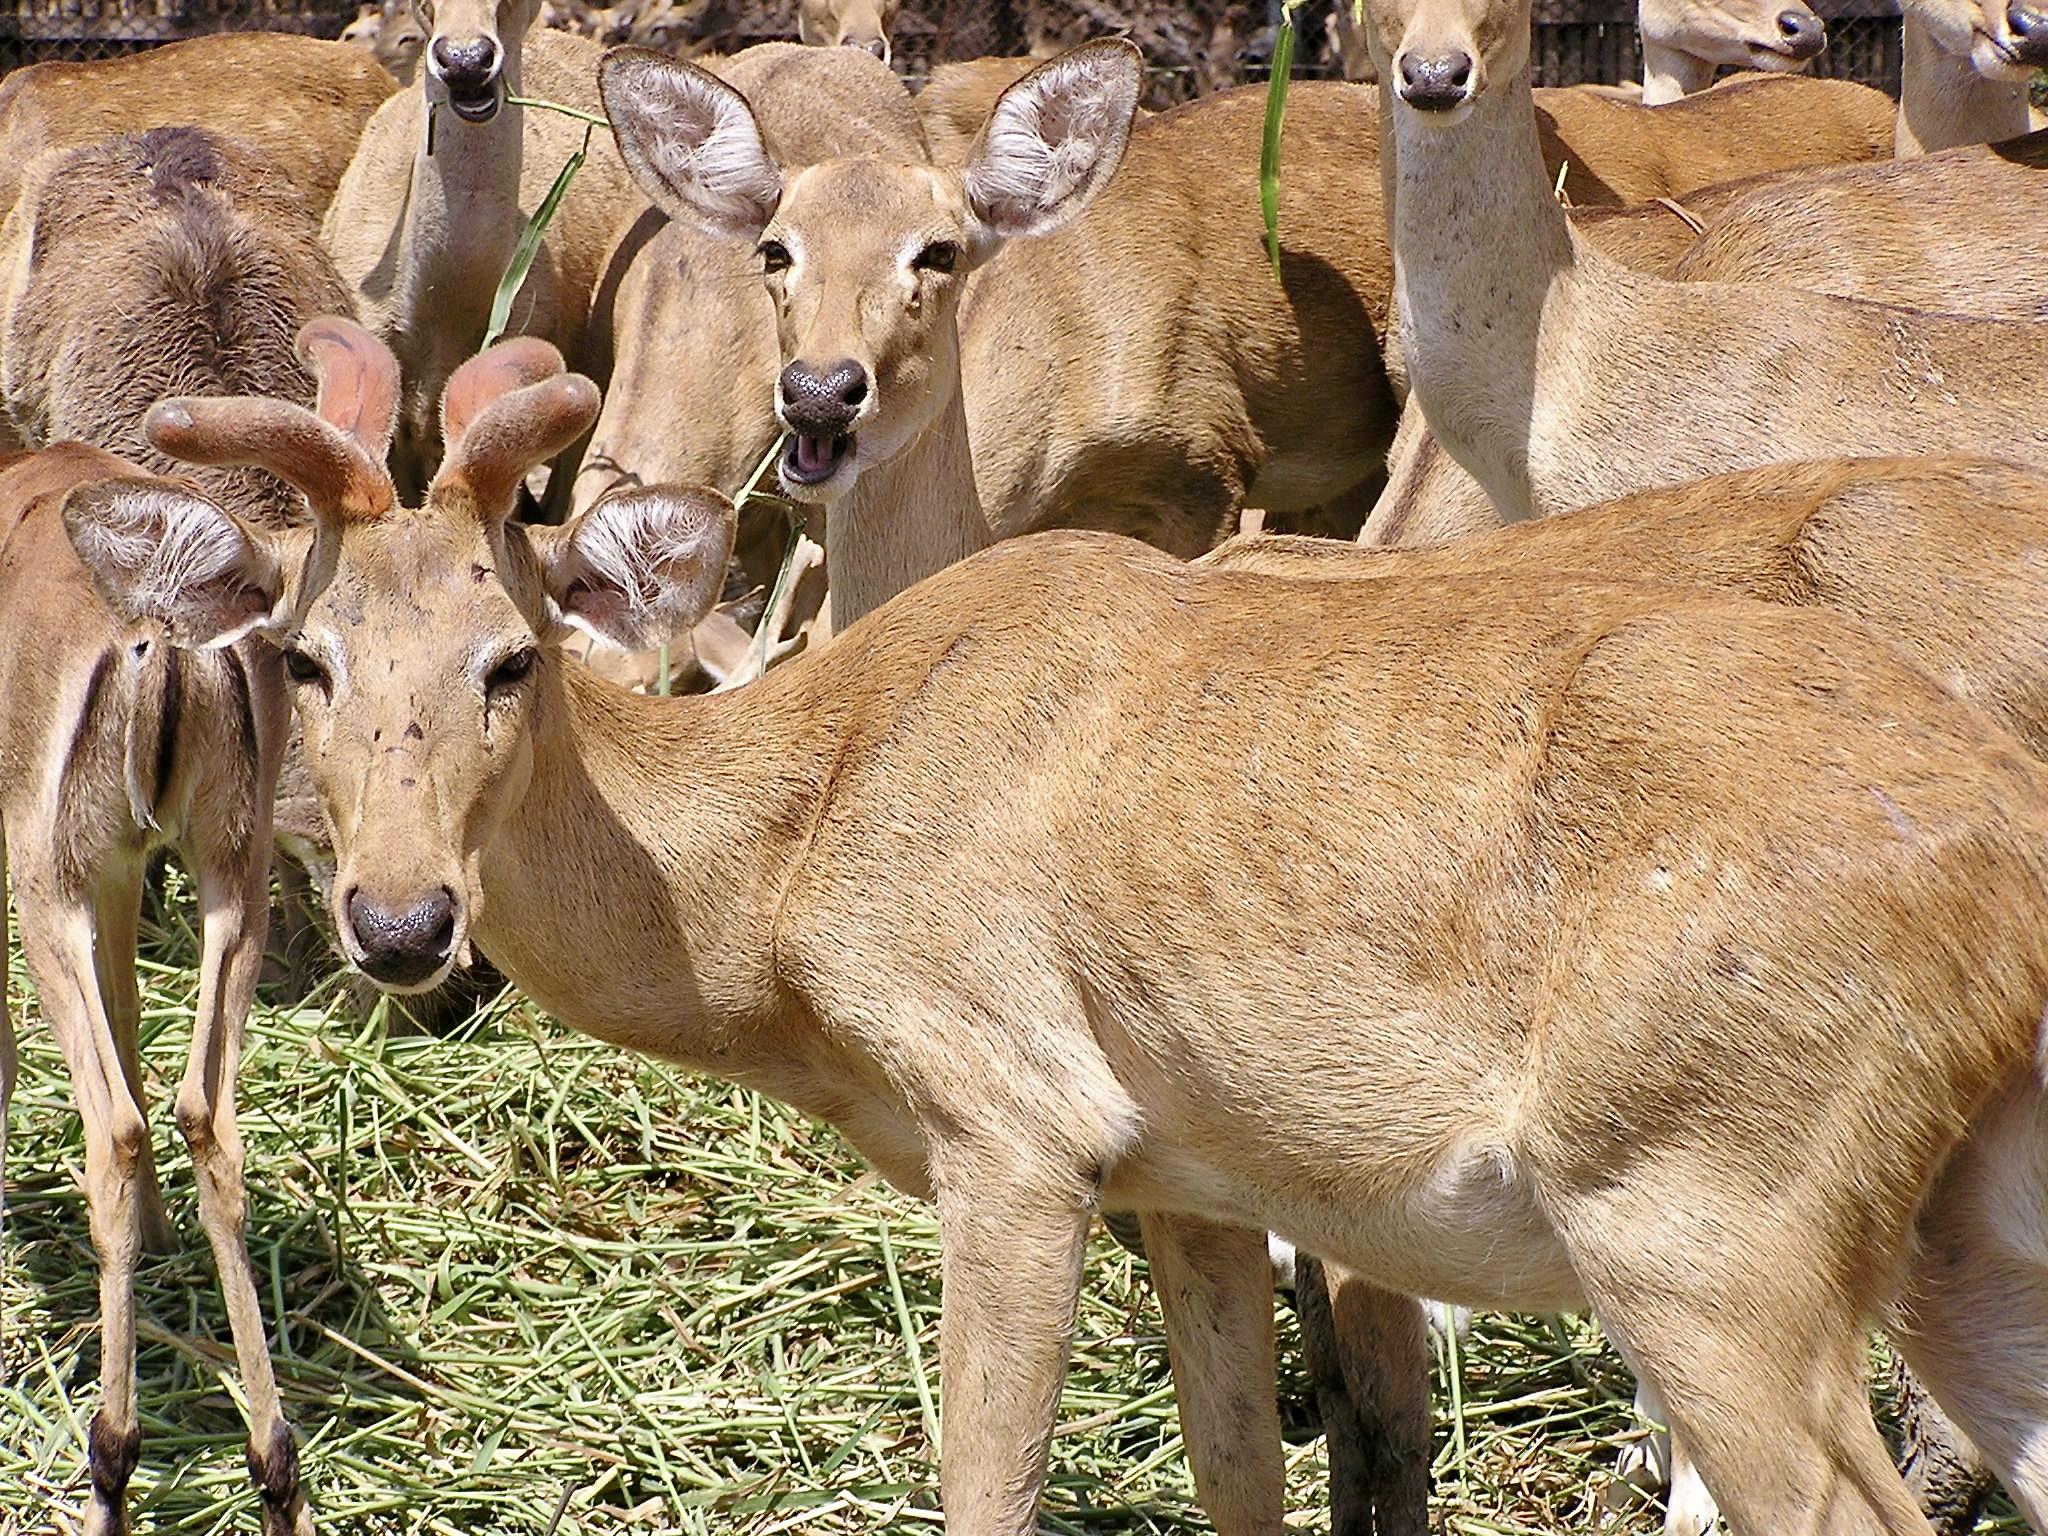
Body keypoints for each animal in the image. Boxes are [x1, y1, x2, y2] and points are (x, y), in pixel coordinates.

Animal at [55, 311, 2048, 1536]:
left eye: (508, 654)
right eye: (307, 653)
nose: (401, 923)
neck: (785, 855)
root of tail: (2002, 881)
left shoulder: (1013, 1122)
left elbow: (986, 1489)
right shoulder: (1197, 1177)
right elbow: (1244, 1480)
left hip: (1708, 1226)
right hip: (1960, 1236)